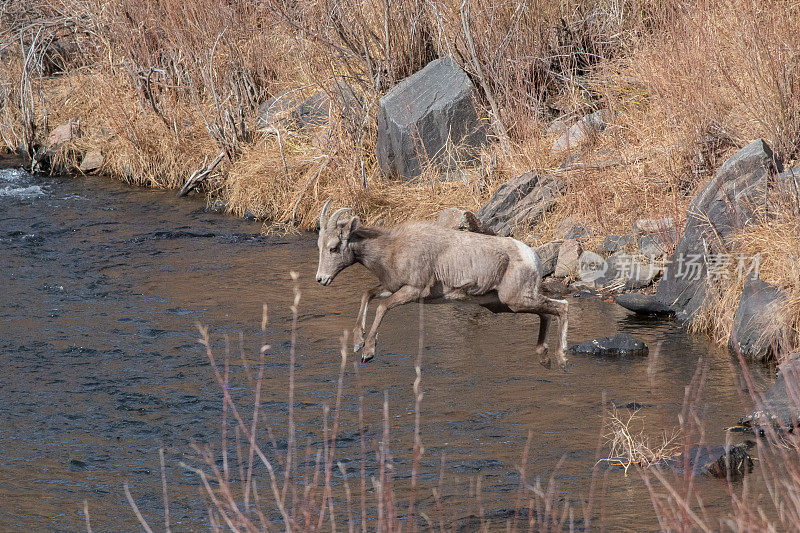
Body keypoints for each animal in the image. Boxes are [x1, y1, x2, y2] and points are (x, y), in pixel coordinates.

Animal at [312, 200, 568, 370]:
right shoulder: (391, 287)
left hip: (515, 300)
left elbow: (382, 307)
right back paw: (544, 358)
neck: (391, 250)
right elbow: (367, 295)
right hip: (506, 305)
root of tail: (532, 257)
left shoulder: (413, 290)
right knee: (546, 313)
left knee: (562, 306)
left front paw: (368, 352)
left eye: (334, 247)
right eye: (319, 246)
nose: (321, 279)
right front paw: (357, 343)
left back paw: (562, 359)